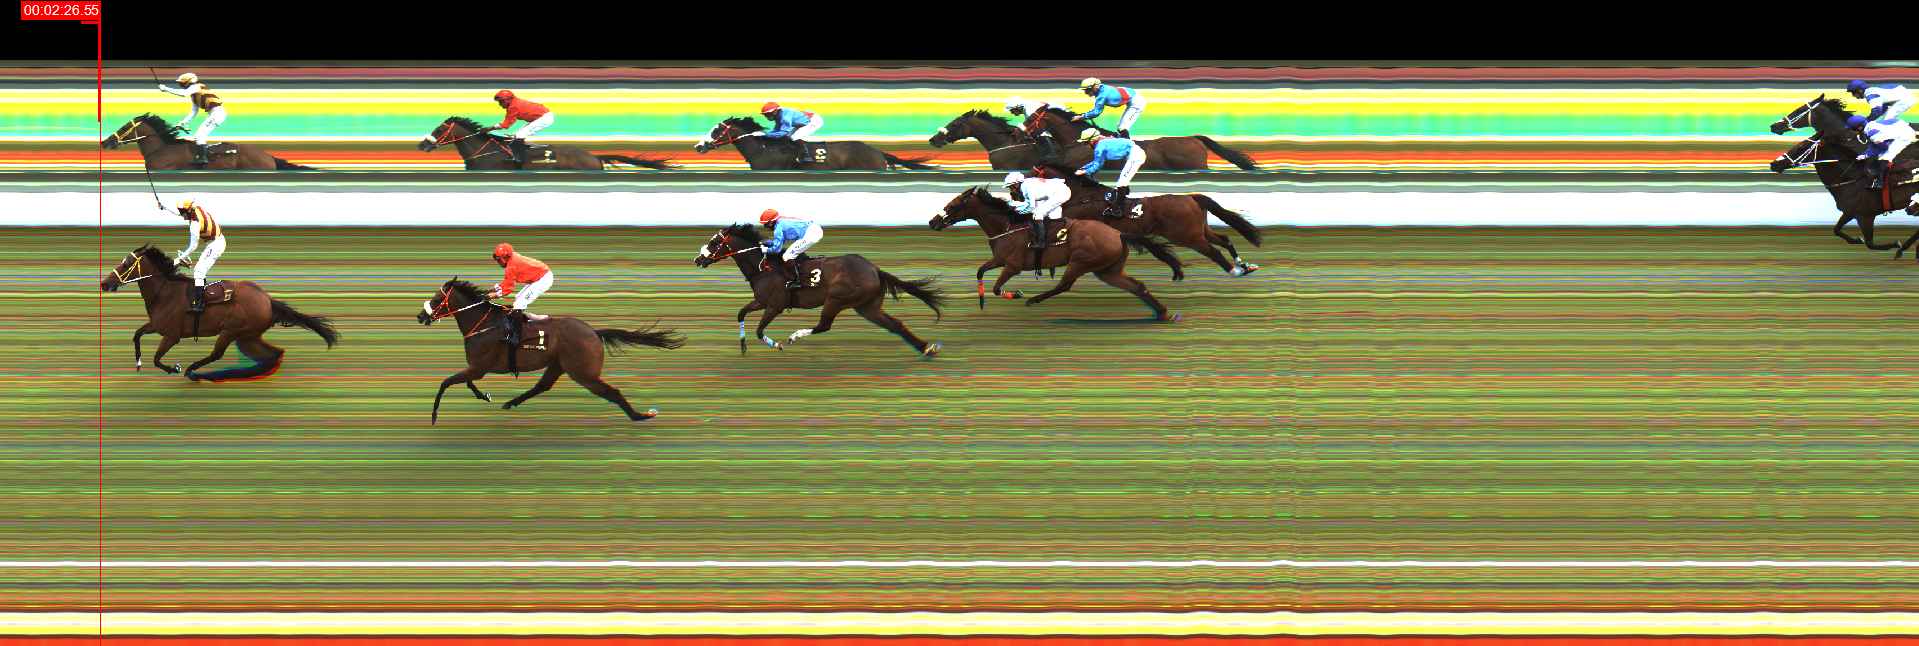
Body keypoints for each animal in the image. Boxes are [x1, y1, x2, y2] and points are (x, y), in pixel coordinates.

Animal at [100, 245, 339, 381]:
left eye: (126, 264)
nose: (105, 284)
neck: (164, 293)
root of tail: (268, 300)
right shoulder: (156, 326)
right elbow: (137, 335)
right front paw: (138, 363)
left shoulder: (171, 336)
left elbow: (157, 359)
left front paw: (174, 368)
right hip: (249, 336)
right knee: (274, 353)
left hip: (232, 331)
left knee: (218, 353)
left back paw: (192, 370)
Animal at [416, 279, 684, 423]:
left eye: (437, 297)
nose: (420, 316)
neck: (482, 323)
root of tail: (593, 331)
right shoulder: (477, 368)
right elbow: (466, 384)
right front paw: (486, 396)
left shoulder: (479, 367)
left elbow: (446, 382)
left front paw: (434, 415)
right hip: (558, 364)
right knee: (541, 386)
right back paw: (510, 403)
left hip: (583, 372)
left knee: (612, 392)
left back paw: (639, 415)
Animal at [695, 224, 946, 356]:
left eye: (714, 242)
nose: (698, 259)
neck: (765, 266)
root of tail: (874, 268)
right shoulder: (761, 301)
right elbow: (740, 314)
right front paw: (743, 345)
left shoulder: (775, 306)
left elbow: (759, 330)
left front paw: (776, 344)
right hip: (867, 306)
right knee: (895, 325)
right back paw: (925, 348)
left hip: (837, 299)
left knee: (824, 325)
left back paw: (794, 336)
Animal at [929, 186, 1185, 321]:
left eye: (953, 206)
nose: (932, 222)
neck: (1006, 226)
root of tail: (1119, 234)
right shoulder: (999, 259)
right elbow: (980, 271)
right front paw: (981, 301)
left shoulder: (1012, 266)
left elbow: (996, 287)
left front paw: (1016, 294)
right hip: (1107, 269)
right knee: (1137, 286)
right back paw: (1162, 312)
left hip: (1081, 261)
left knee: (1064, 285)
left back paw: (1033, 299)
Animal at [1029, 163, 1263, 276]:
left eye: (1032, 172)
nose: (1021, 190)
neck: (1083, 195)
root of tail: (1191, 196)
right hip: (1200, 231)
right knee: (1224, 239)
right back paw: (1244, 265)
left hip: (1188, 237)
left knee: (1214, 251)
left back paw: (1235, 270)